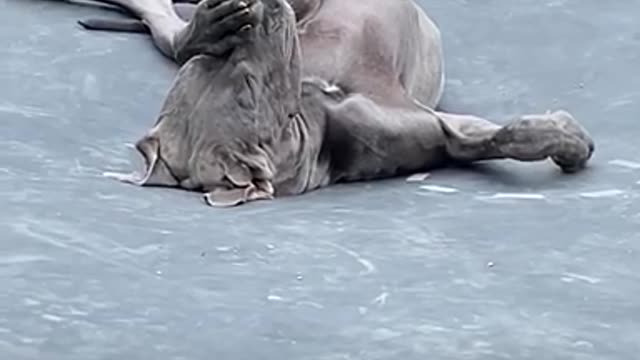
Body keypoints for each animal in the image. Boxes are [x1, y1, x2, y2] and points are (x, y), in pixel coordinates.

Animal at [71, 0, 596, 207]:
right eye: (248, 86)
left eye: (212, 63)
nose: (265, 5)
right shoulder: (437, 130)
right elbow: (508, 135)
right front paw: (569, 139)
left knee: (166, 24)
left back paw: (202, 19)